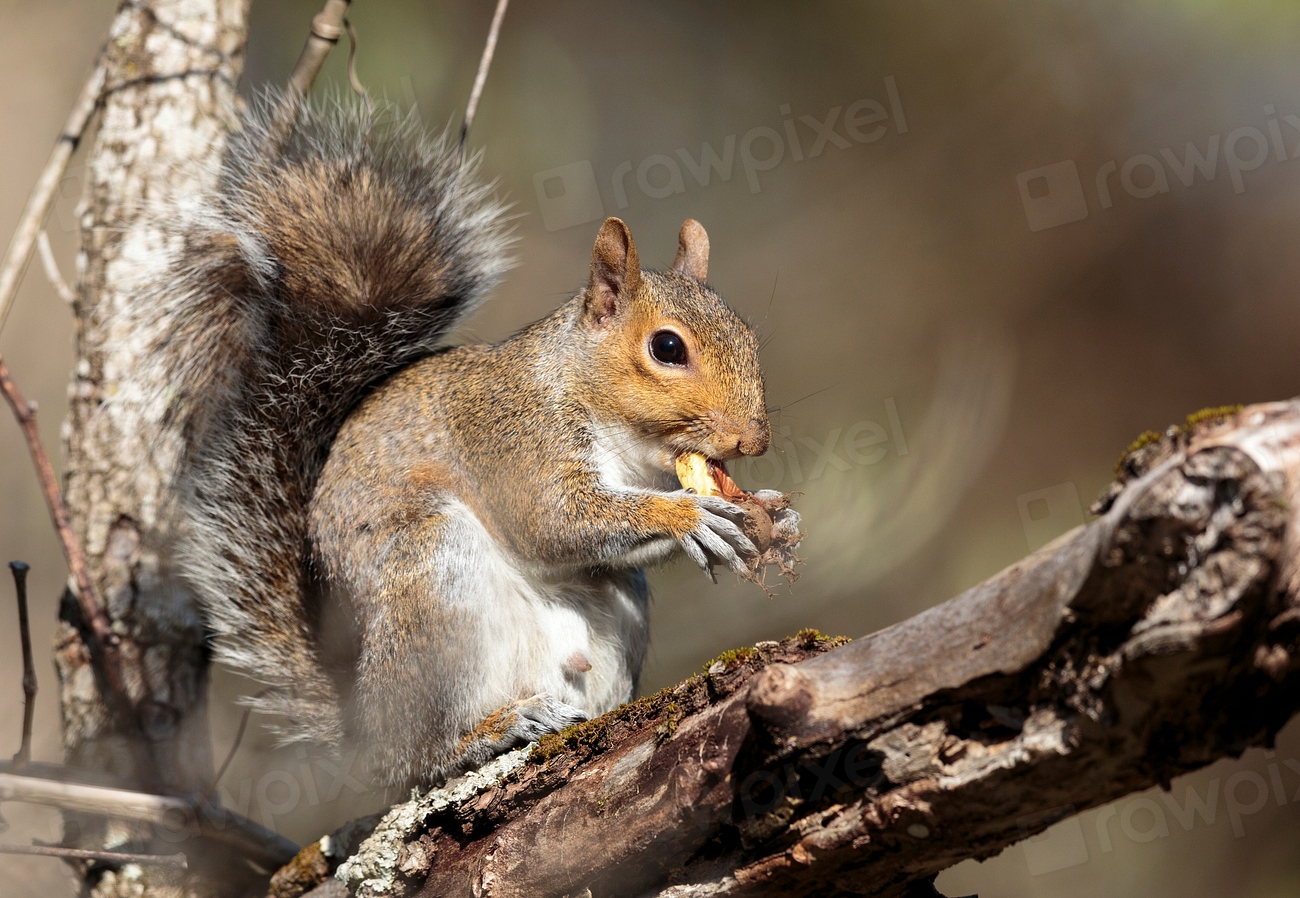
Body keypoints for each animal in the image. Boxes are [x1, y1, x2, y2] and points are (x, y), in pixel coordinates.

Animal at [148, 93, 773, 788]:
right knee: (415, 757)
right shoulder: (513, 439)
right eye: (666, 347)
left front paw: (773, 514)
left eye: (746, 332)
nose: (755, 439)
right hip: (434, 581)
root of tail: (363, 721)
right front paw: (692, 516)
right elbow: (553, 520)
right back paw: (485, 732)